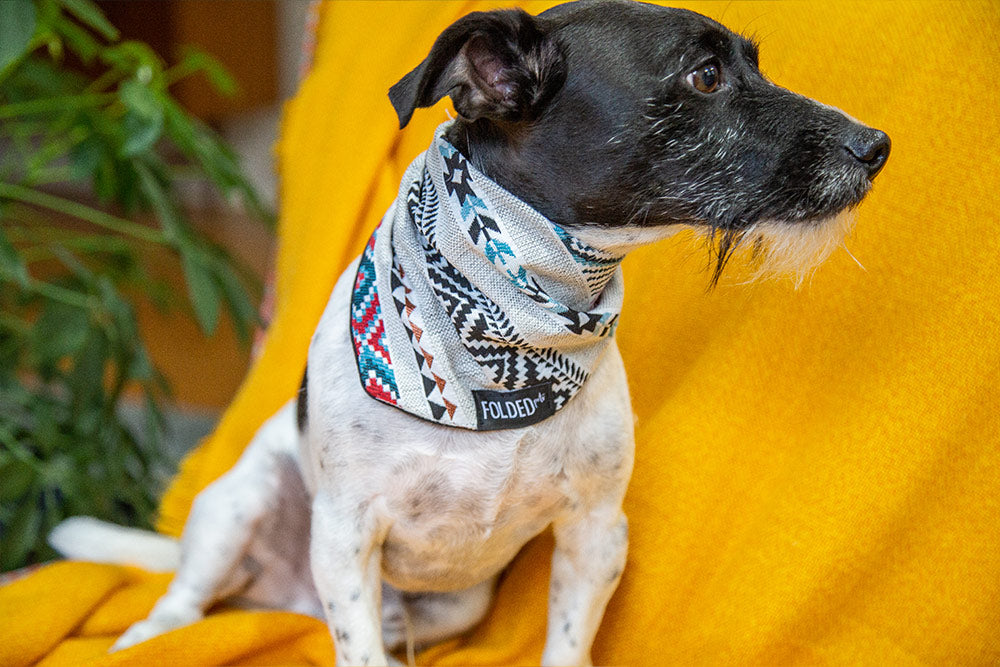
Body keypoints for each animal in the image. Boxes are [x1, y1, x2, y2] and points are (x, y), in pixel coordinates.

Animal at [50, 2, 888, 664]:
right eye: (706, 76)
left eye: (750, 64)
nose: (876, 145)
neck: (517, 324)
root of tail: (284, 597)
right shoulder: (347, 534)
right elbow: (357, 649)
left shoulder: (595, 531)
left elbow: (567, 642)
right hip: (242, 502)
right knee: (186, 593)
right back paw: (147, 635)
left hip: (461, 597)